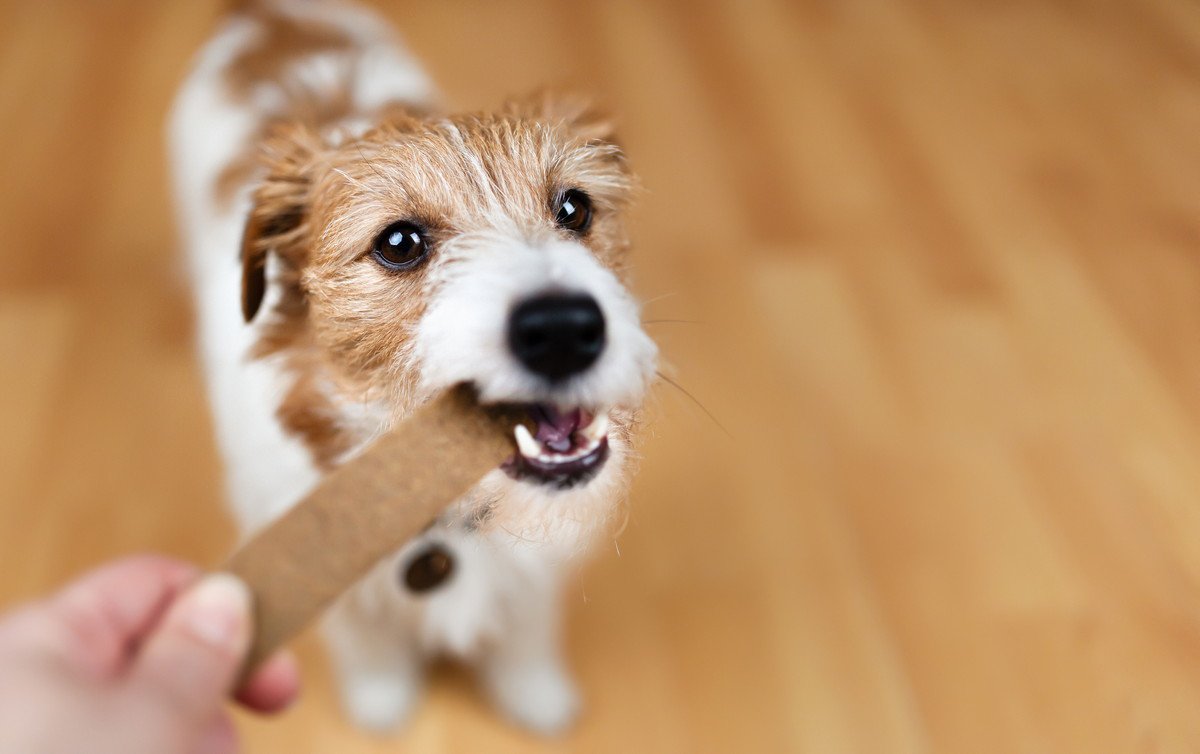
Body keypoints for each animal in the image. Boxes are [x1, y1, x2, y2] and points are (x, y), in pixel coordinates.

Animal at [166, 0, 657, 734]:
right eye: (398, 243)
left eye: (574, 208)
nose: (566, 329)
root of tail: (268, 13)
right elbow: (366, 638)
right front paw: (383, 699)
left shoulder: (537, 567)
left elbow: (527, 628)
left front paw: (535, 695)